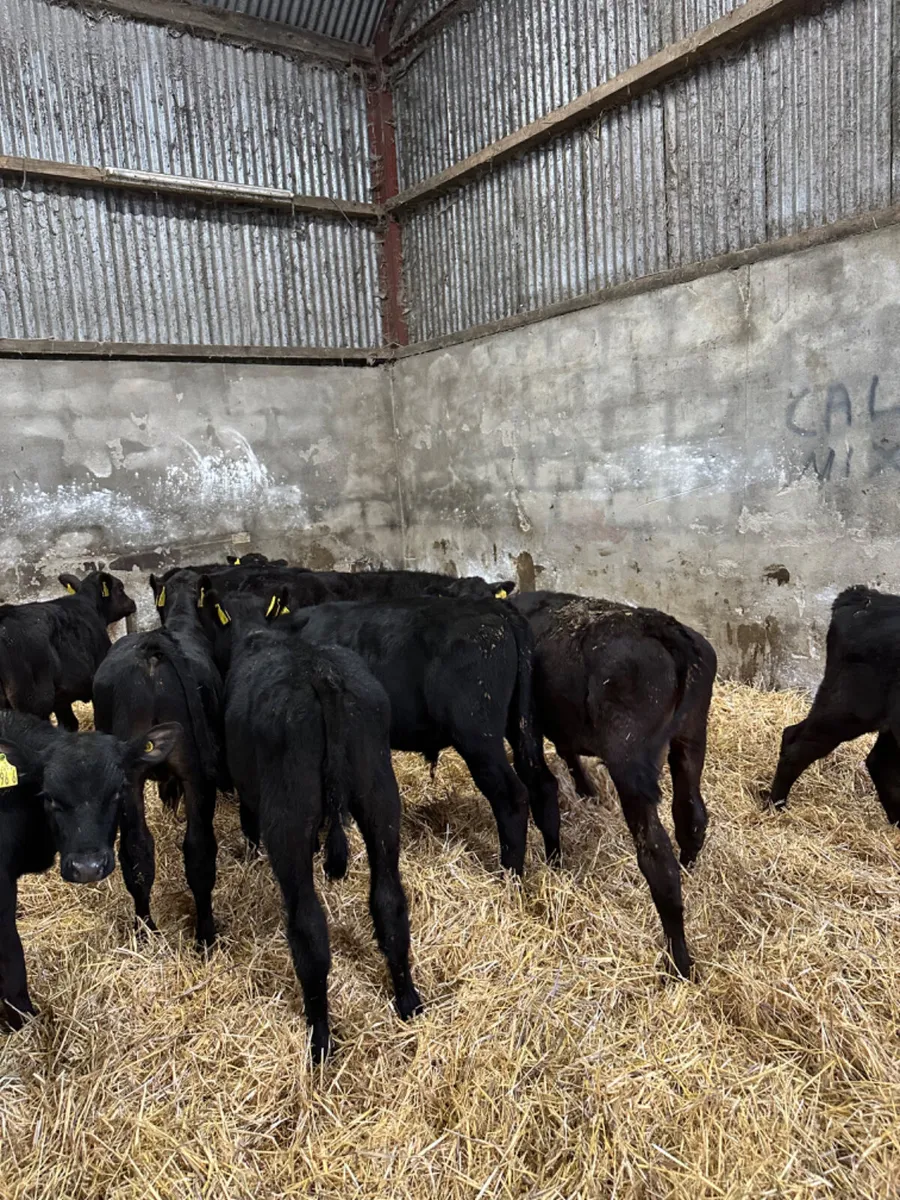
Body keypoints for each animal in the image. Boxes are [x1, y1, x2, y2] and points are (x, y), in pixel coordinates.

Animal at [92, 579, 227, 947]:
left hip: (128, 776)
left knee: (136, 850)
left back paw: (146, 932)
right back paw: (206, 936)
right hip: (196, 771)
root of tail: (151, 649)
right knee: (199, 850)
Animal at [216, 592, 423, 1060]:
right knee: (389, 899)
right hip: (380, 794)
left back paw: (321, 1038)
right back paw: (407, 999)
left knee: (308, 926)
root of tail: (321, 677)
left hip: (288, 816)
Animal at [273, 594, 559, 875]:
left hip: (478, 735)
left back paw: (509, 876)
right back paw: (554, 862)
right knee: (543, 783)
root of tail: (496, 607)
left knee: (512, 796)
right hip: (523, 725)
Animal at [511, 592, 716, 979]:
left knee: (656, 854)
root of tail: (664, 627)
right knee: (691, 815)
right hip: (691, 736)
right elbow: (566, 751)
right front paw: (587, 790)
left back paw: (679, 960)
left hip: (629, 758)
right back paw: (690, 868)